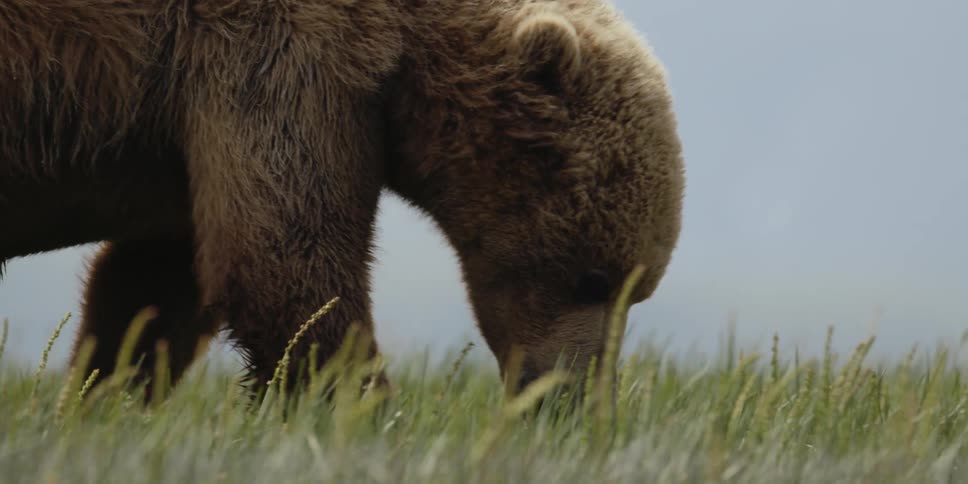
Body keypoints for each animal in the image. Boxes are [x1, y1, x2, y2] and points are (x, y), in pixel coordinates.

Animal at [0, 0, 684, 397]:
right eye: (593, 278)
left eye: (639, 291)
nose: (572, 398)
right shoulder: (280, 55)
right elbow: (286, 266)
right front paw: (361, 408)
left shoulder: (190, 128)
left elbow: (155, 282)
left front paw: (108, 390)